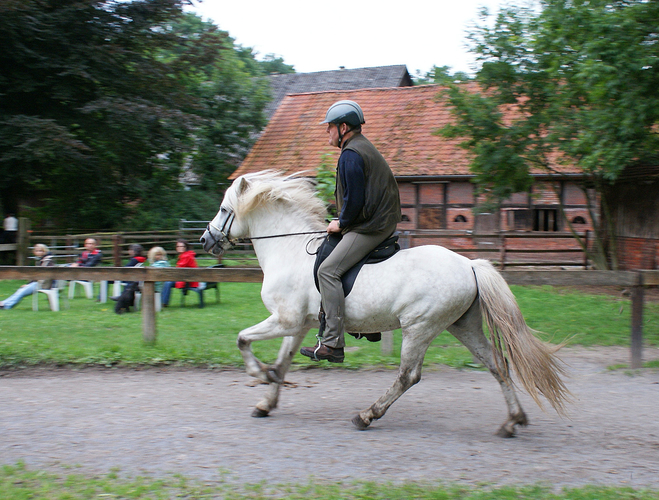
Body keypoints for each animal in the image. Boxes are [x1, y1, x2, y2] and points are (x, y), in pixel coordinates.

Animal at [199, 170, 568, 436]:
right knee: (497, 365)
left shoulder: (285, 320)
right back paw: (513, 421)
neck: (288, 251)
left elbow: (242, 339)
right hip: (463, 326)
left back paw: (367, 415)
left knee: (408, 376)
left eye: (224, 209)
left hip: (419, 327)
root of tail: (469, 265)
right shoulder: (299, 324)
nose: (205, 240)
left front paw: (259, 375)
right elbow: (284, 361)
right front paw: (266, 400)